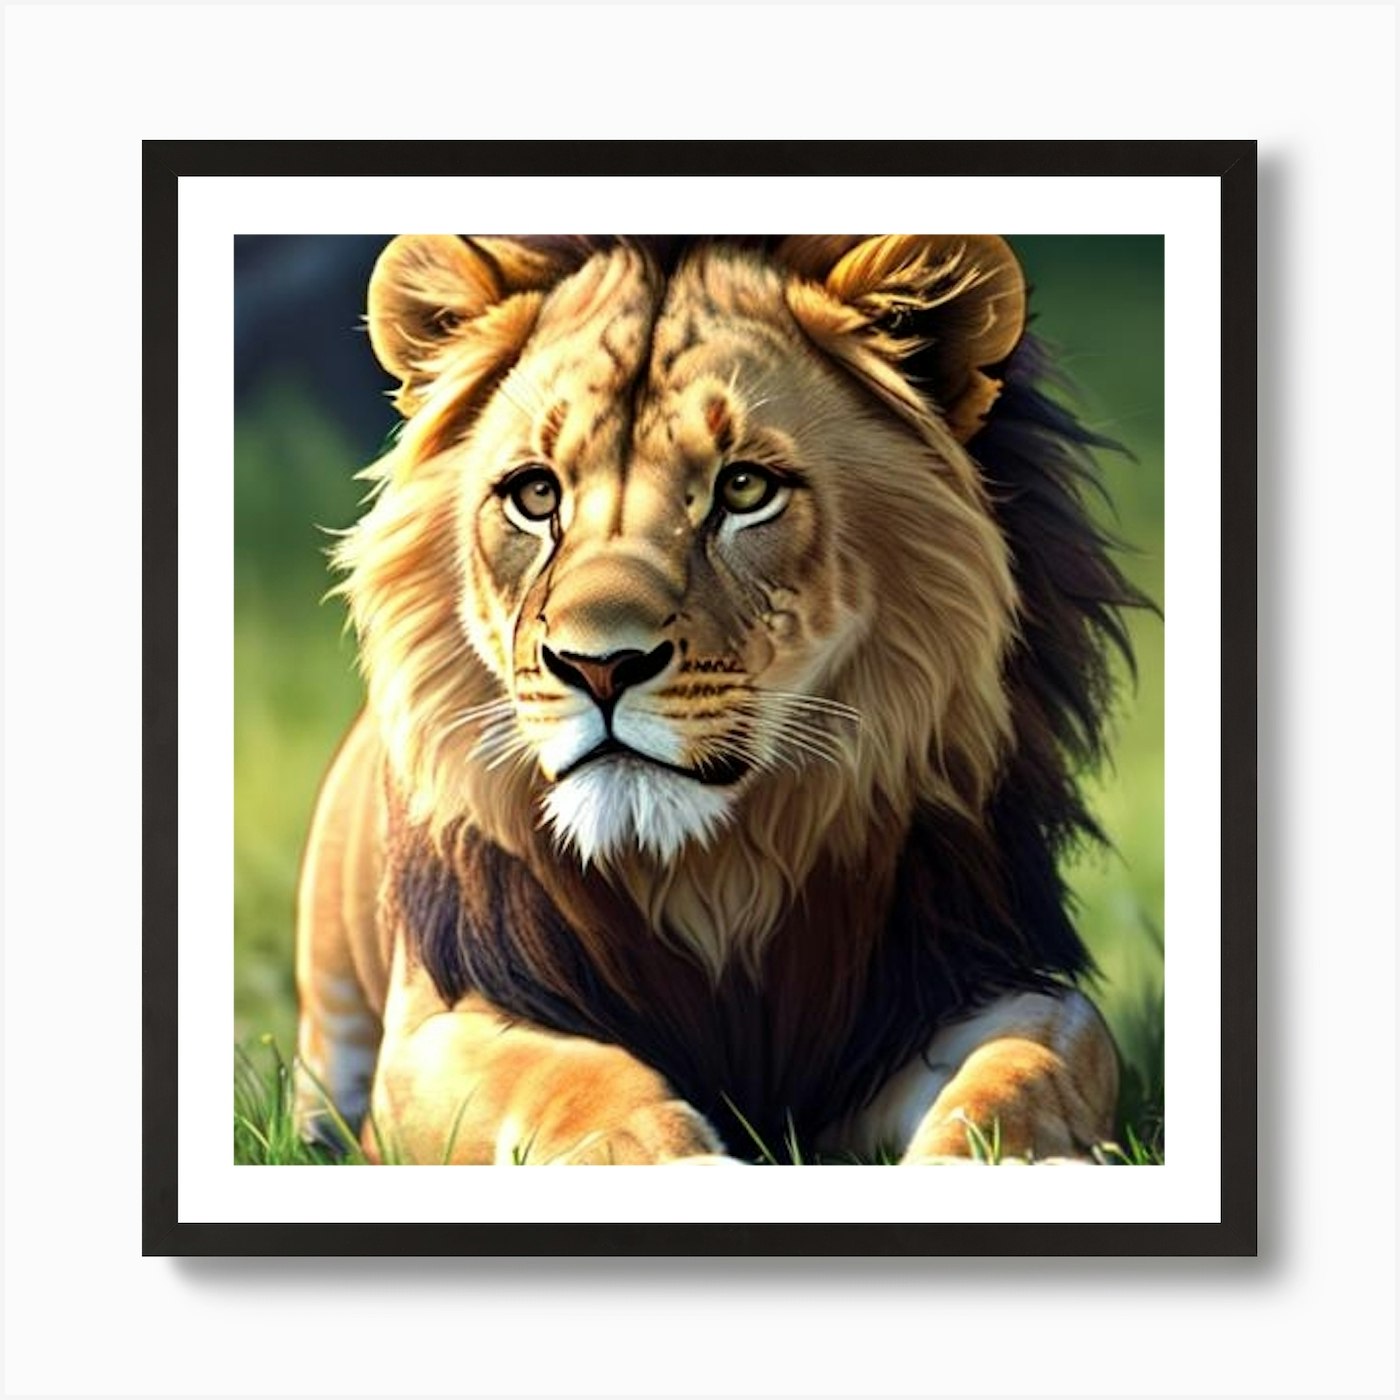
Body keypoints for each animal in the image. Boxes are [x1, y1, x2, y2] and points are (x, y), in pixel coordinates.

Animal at [292, 234, 1143, 1165]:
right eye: (536, 495)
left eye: (744, 490)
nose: (597, 668)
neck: (706, 874)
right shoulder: (445, 1021)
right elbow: (577, 1084)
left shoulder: (967, 978)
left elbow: (1036, 1061)